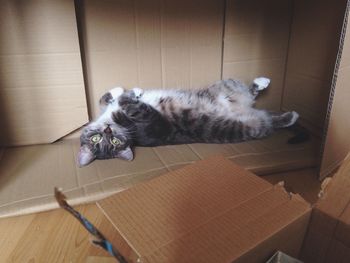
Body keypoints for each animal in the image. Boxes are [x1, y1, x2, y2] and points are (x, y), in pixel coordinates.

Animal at [78, 77, 298, 167]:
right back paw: (291, 116)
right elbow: (129, 103)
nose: (108, 130)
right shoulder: (155, 124)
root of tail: (246, 107)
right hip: (255, 126)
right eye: (100, 140)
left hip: (226, 86)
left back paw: (263, 82)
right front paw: (130, 94)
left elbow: (104, 99)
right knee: (271, 121)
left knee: (251, 92)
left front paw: (121, 91)